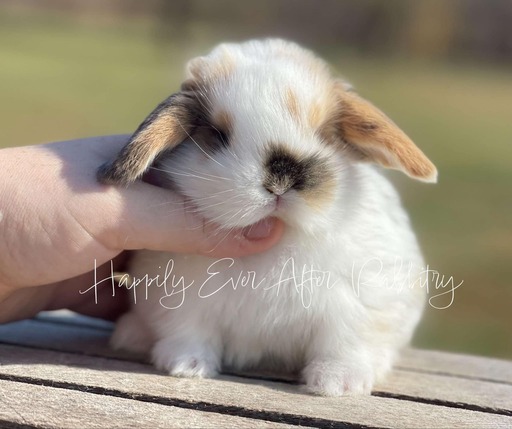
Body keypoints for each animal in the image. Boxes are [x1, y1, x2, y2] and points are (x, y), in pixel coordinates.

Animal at [99, 39, 436, 394]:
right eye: (218, 134)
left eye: (325, 133)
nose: (282, 178)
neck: (283, 238)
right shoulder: (179, 297)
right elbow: (187, 331)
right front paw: (186, 366)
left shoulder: (361, 304)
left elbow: (344, 343)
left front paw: (337, 384)